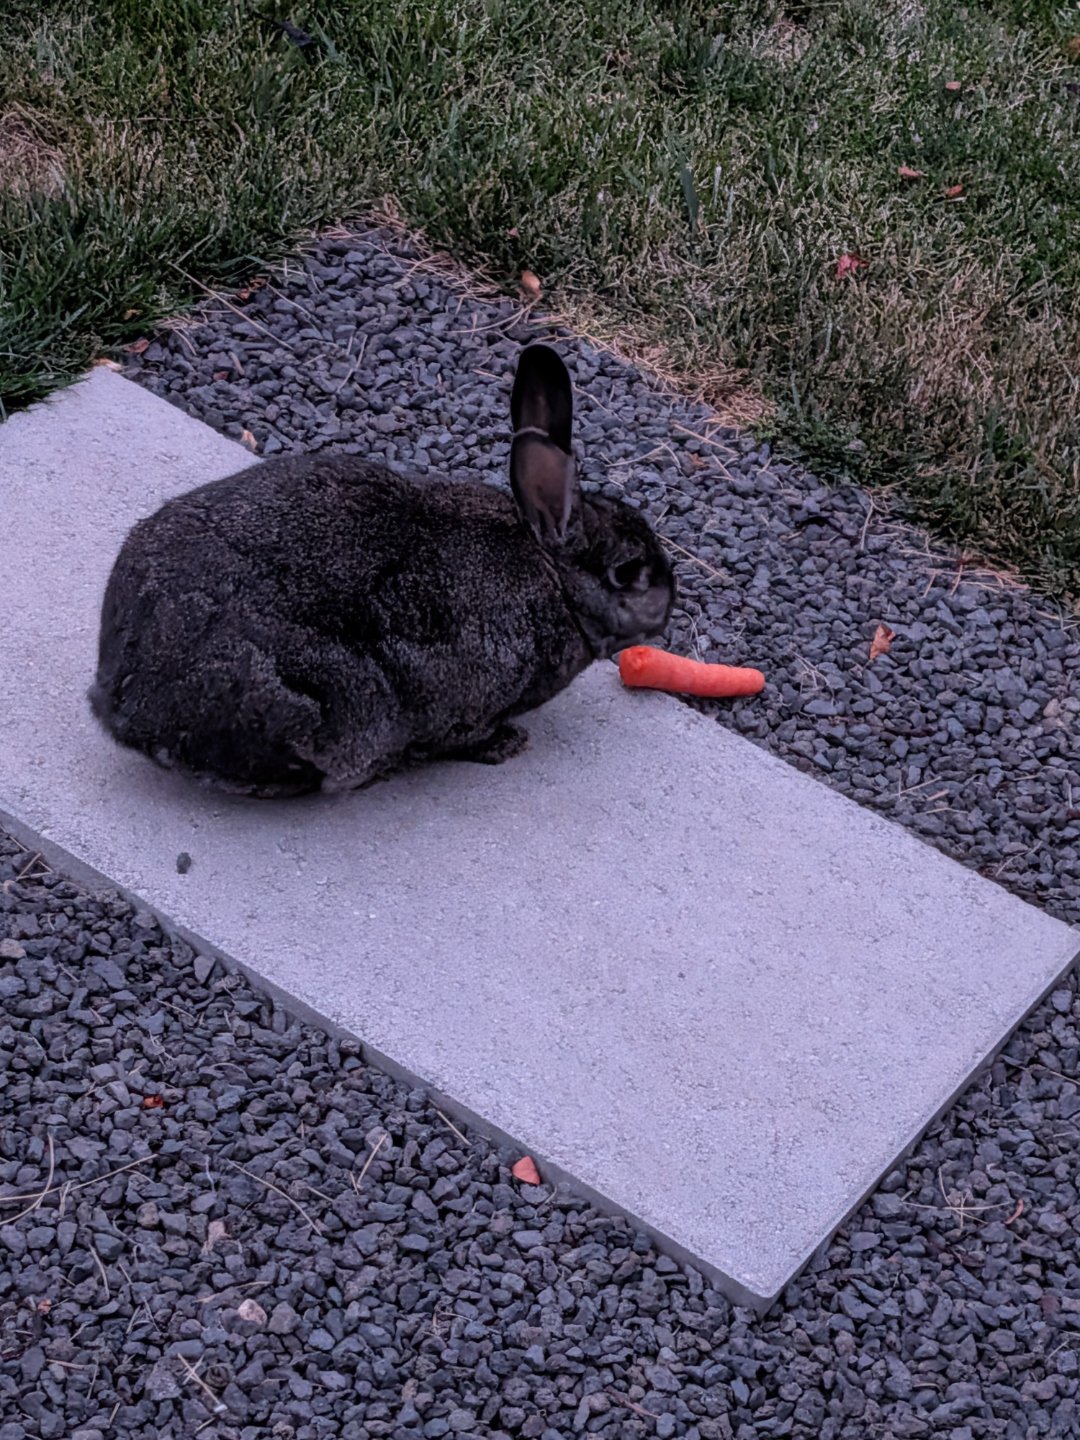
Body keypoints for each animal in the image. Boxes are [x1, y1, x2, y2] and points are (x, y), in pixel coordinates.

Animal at [89, 342, 675, 797]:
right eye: (627, 572)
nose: (667, 607)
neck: (555, 578)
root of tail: (124, 705)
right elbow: (465, 736)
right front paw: (507, 745)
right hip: (335, 707)